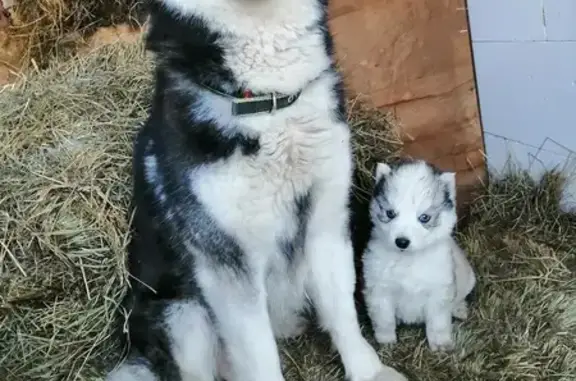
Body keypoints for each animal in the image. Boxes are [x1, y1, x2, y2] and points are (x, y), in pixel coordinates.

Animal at [106, 0, 408, 380]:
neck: (270, 104)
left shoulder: (326, 219)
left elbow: (341, 310)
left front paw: (369, 370)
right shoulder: (226, 260)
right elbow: (261, 354)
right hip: (182, 318)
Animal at [362, 160, 474, 350]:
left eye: (424, 218)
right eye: (390, 213)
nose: (402, 242)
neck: (408, 259)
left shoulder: (438, 293)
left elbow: (438, 323)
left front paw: (441, 345)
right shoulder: (380, 290)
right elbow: (384, 320)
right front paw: (386, 341)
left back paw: (459, 309)